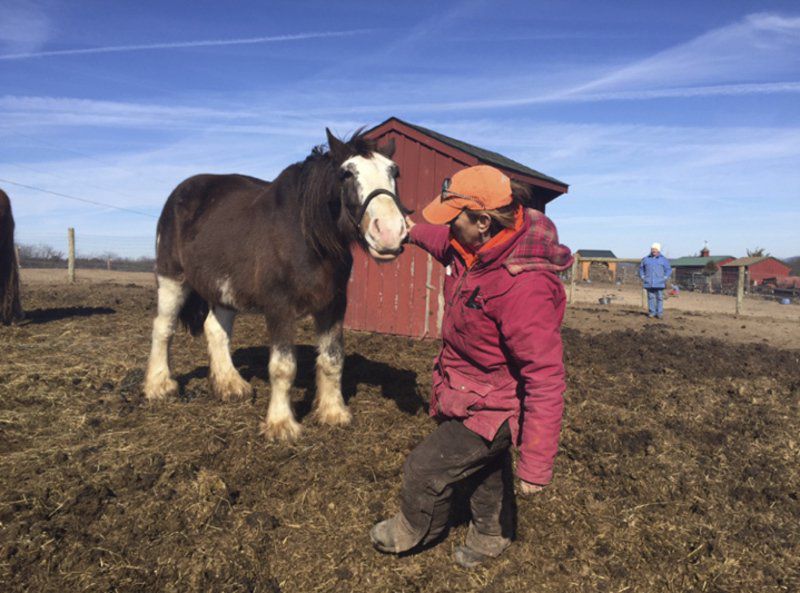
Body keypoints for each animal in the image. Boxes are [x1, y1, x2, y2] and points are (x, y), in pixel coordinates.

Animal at [144, 127, 410, 438]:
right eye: (347, 173)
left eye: (394, 171)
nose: (390, 233)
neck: (307, 235)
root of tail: (179, 193)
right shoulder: (279, 307)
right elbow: (284, 367)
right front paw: (282, 424)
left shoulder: (333, 304)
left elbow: (332, 358)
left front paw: (333, 413)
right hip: (172, 278)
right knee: (163, 327)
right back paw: (159, 386)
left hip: (223, 287)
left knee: (215, 329)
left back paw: (231, 385)